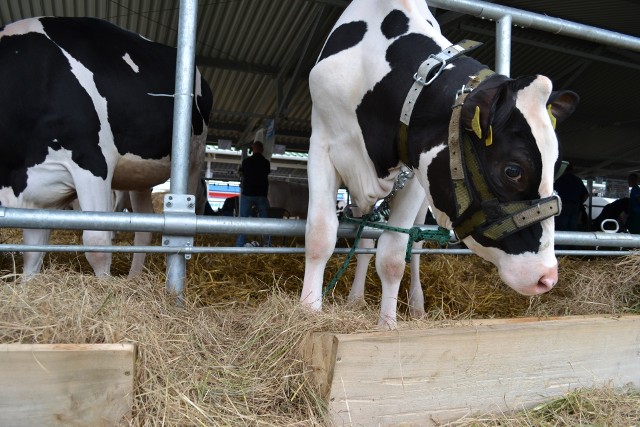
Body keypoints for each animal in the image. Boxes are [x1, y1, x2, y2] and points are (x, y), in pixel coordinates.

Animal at [0, 15, 215, 278]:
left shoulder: (92, 162)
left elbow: (98, 243)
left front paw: (104, 285)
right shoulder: (37, 190)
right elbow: (32, 252)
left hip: (194, 157)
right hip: (140, 176)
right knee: (144, 227)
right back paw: (133, 280)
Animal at [302, 0, 580, 328]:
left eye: (557, 167)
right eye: (513, 171)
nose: (547, 277)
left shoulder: (415, 173)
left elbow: (393, 254)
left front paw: (387, 325)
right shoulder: (321, 144)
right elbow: (320, 234)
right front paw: (307, 311)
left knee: (413, 246)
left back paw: (416, 306)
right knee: (365, 242)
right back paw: (355, 300)